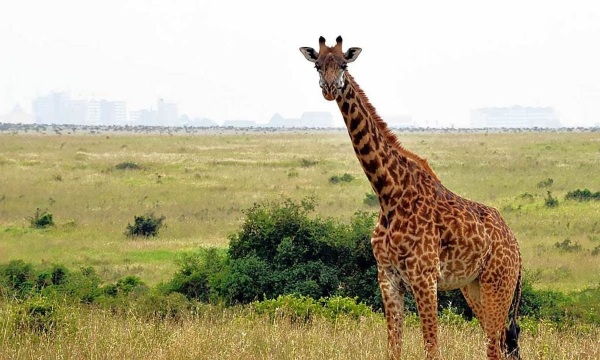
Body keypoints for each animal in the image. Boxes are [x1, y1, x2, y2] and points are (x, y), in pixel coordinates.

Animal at [298, 35, 520, 358]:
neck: (388, 194)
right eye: (317, 65)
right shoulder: (388, 277)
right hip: (473, 287)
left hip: (498, 283)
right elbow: (394, 346)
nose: (329, 89)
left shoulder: (424, 277)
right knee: (502, 344)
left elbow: (432, 347)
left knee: (495, 346)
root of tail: (516, 245)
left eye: (343, 65)